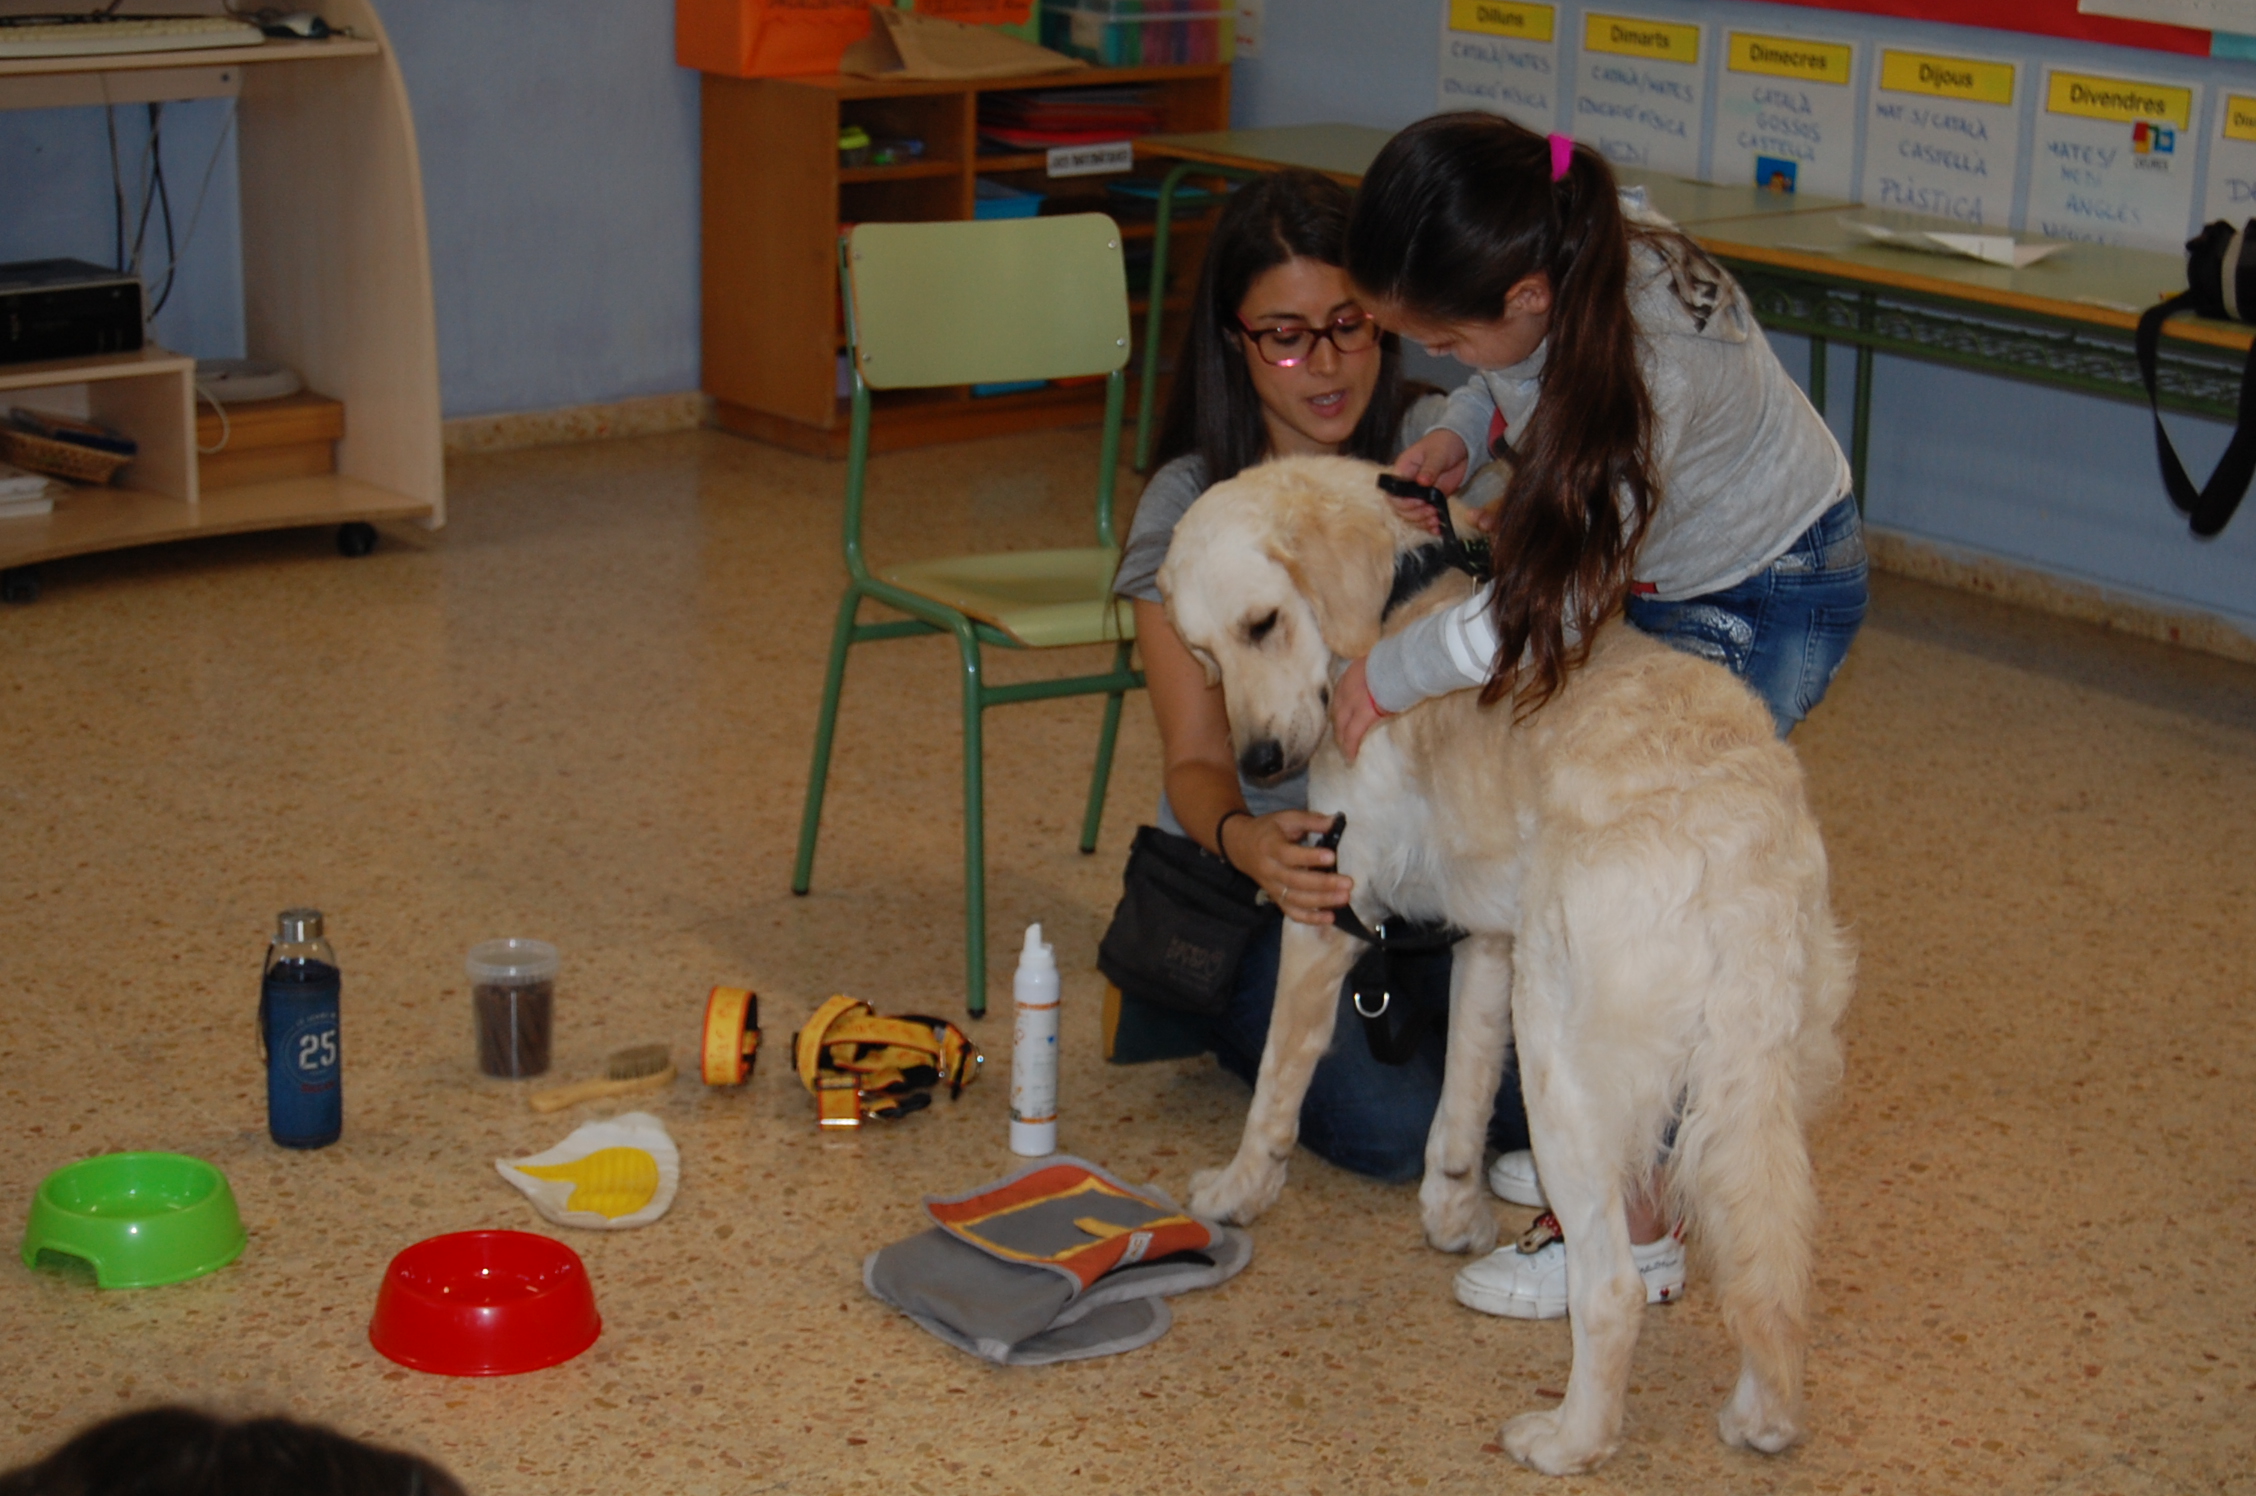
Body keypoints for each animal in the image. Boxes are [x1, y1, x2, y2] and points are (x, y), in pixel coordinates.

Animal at [1156, 455, 1853, 1476]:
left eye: (1262, 624)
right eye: (1203, 655)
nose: (1263, 760)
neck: (1398, 591)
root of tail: (1732, 844)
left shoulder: (1332, 912)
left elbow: (1277, 1090)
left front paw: (1242, 1193)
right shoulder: (1488, 939)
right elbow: (1459, 1104)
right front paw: (1452, 1215)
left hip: (1567, 1060)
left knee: (1612, 1291)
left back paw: (1570, 1440)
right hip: (1750, 1088)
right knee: (1772, 1263)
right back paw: (1763, 1414)